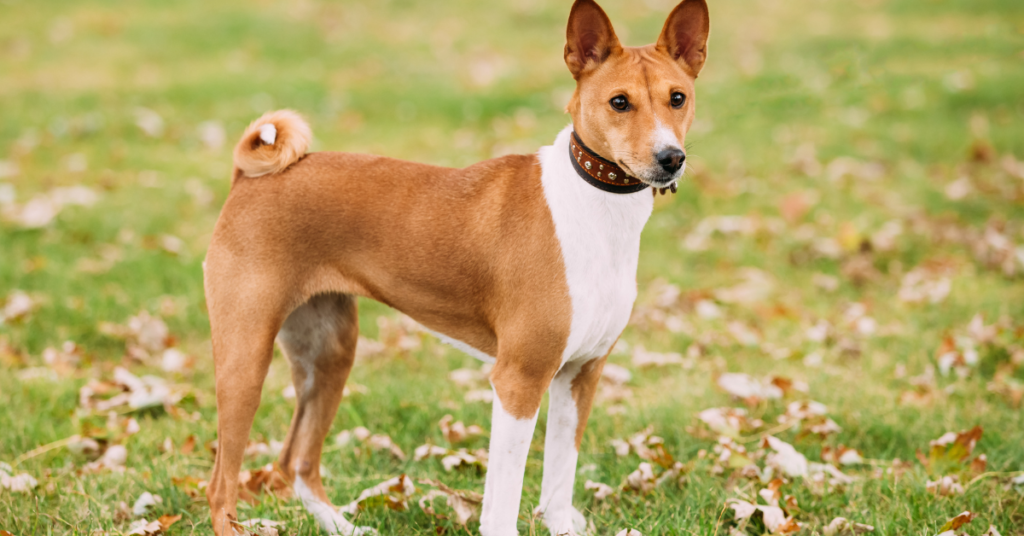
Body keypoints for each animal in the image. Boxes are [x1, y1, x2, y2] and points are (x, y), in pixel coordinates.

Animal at [203, 1, 708, 532]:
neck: (593, 207)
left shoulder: (580, 374)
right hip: (245, 360)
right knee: (221, 483)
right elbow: (504, 499)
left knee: (296, 462)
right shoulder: (519, 378)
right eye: (619, 103)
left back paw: (341, 525)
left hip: (330, 352)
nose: (670, 158)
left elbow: (558, 483)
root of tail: (248, 178)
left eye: (677, 98)